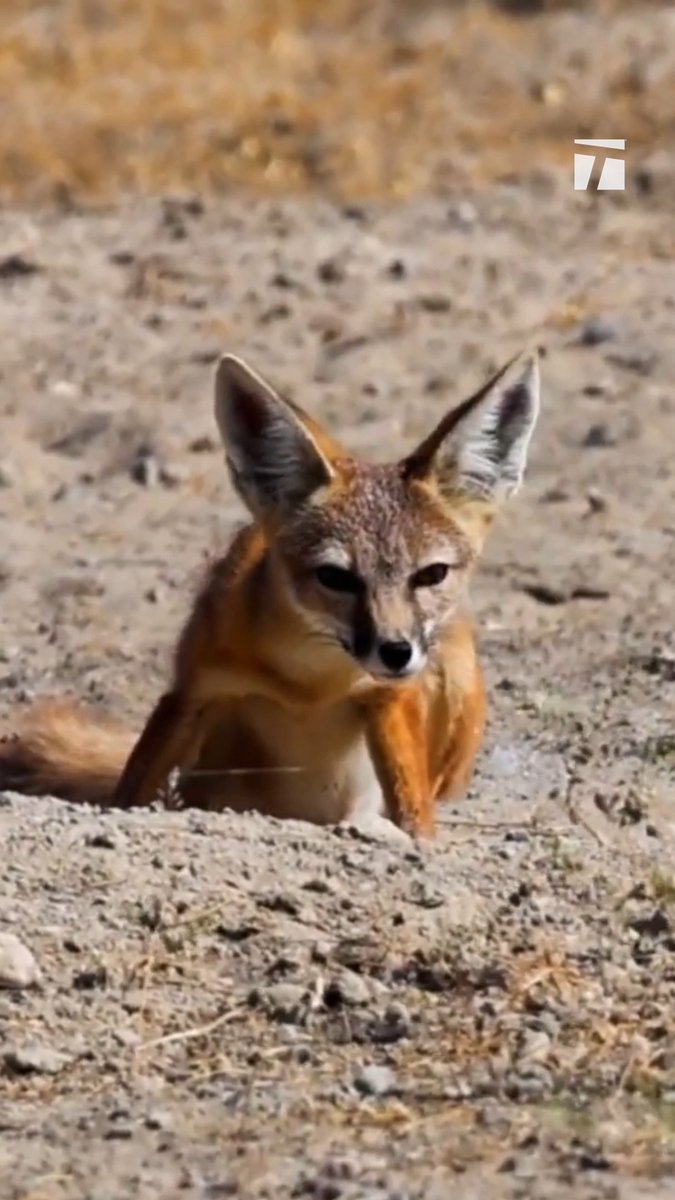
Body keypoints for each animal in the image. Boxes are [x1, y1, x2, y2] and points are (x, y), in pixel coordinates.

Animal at [0, 349, 540, 839]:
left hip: (454, 671)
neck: (309, 681)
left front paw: (415, 842)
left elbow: (415, 813)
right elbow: (131, 792)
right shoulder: (193, 689)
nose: (396, 652)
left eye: (432, 574)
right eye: (336, 577)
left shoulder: (387, 702)